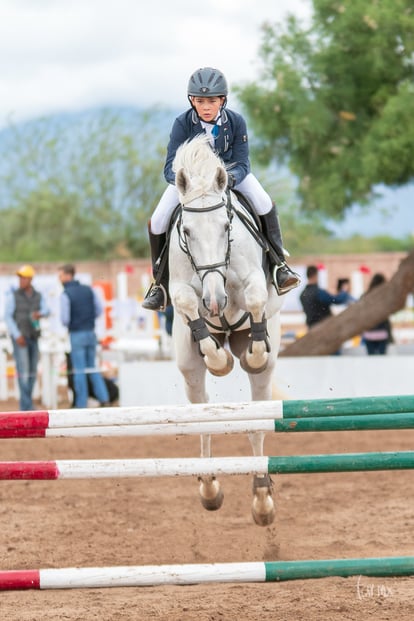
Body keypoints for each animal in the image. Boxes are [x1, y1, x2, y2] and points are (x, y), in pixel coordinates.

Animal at [168, 134, 284, 524]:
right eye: (187, 231)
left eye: (226, 227)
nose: (215, 301)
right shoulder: (181, 289)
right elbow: (188, 303)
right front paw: (220, 361)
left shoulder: (251, 282)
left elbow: (254, 297)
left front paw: (252, 353)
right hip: (188, 369)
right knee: (203, 417)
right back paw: (209, 487)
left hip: (263, 380)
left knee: (258, 420)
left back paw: (262, 499)